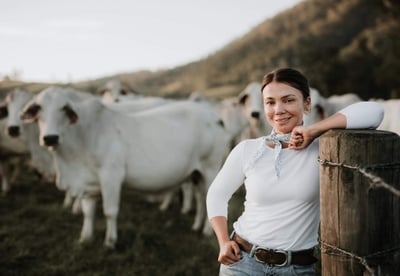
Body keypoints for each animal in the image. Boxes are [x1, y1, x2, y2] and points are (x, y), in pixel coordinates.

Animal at [21, 88, 228, 248]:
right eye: (38, 109)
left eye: (64, 108)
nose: (50, 138)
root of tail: (215, 116)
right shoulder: (89, 184)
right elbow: (88, 212)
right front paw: (85, 238)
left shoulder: (111, 176)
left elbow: (110, 211)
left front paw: (110, 241)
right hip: (196, 174)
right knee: (202, 198)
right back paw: (197, 226)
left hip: (211, 168)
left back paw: (207, 231)